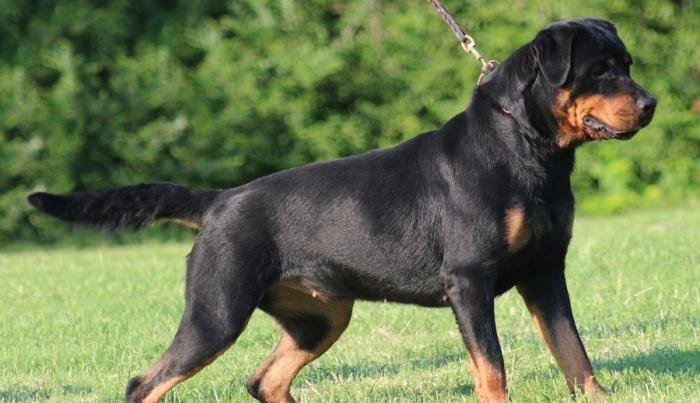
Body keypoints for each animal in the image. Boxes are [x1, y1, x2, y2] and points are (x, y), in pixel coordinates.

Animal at [28, 18, 655, 403]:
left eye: (627, 63)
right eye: (601, 70)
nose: (650, 102)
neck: (528, 150)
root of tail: (220, 200)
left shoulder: (545, 271)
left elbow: (574, 352)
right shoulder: (469, 282)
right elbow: (493, 368)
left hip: (320, 316)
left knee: (263, 380)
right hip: (217, 311)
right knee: (145, 383)